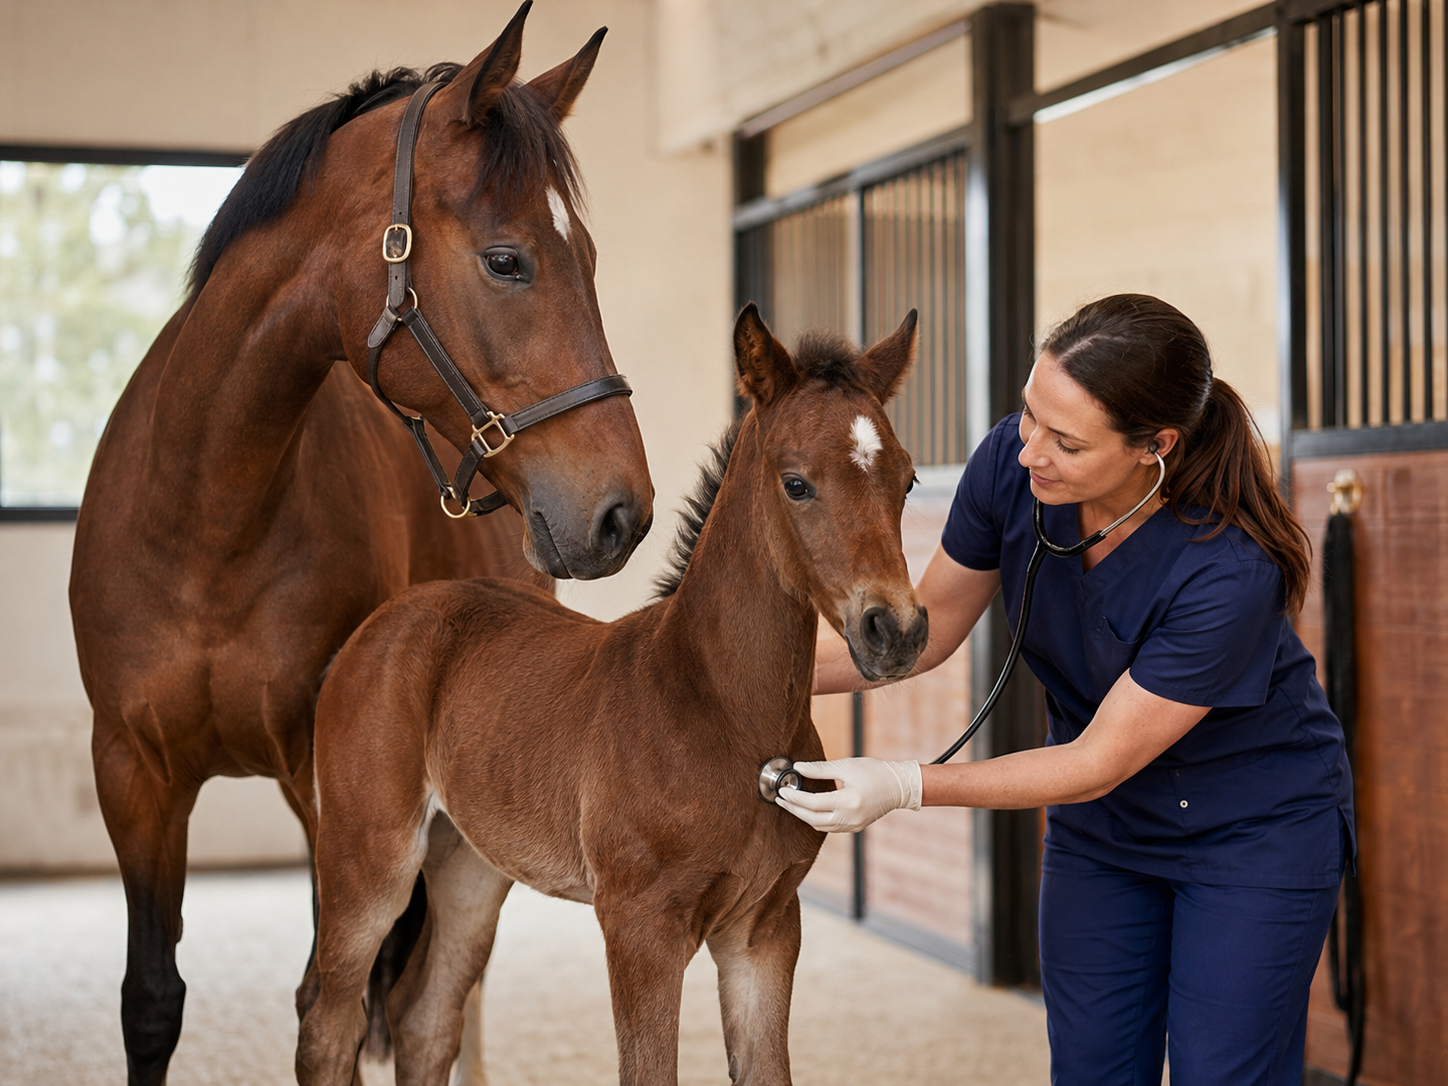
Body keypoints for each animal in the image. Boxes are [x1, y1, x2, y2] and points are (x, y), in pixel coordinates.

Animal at [66, 5, 652, 1083]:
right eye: (506, 259)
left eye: (587, 258)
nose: (620, 512)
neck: (209, 518)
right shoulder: (132, 773)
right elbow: (152, 1001)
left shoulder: (323, 786)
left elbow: (330, 1006)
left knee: (437, 1007)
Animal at [295, 304, 929, 1086]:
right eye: (797, 483)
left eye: (907, 481)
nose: (894, 630)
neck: (722, 711)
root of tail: (372, 630)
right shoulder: (640, 928)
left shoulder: (766, 930)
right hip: (369, 860)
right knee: (329, 1024)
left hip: (468, 865)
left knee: (425, 1016)